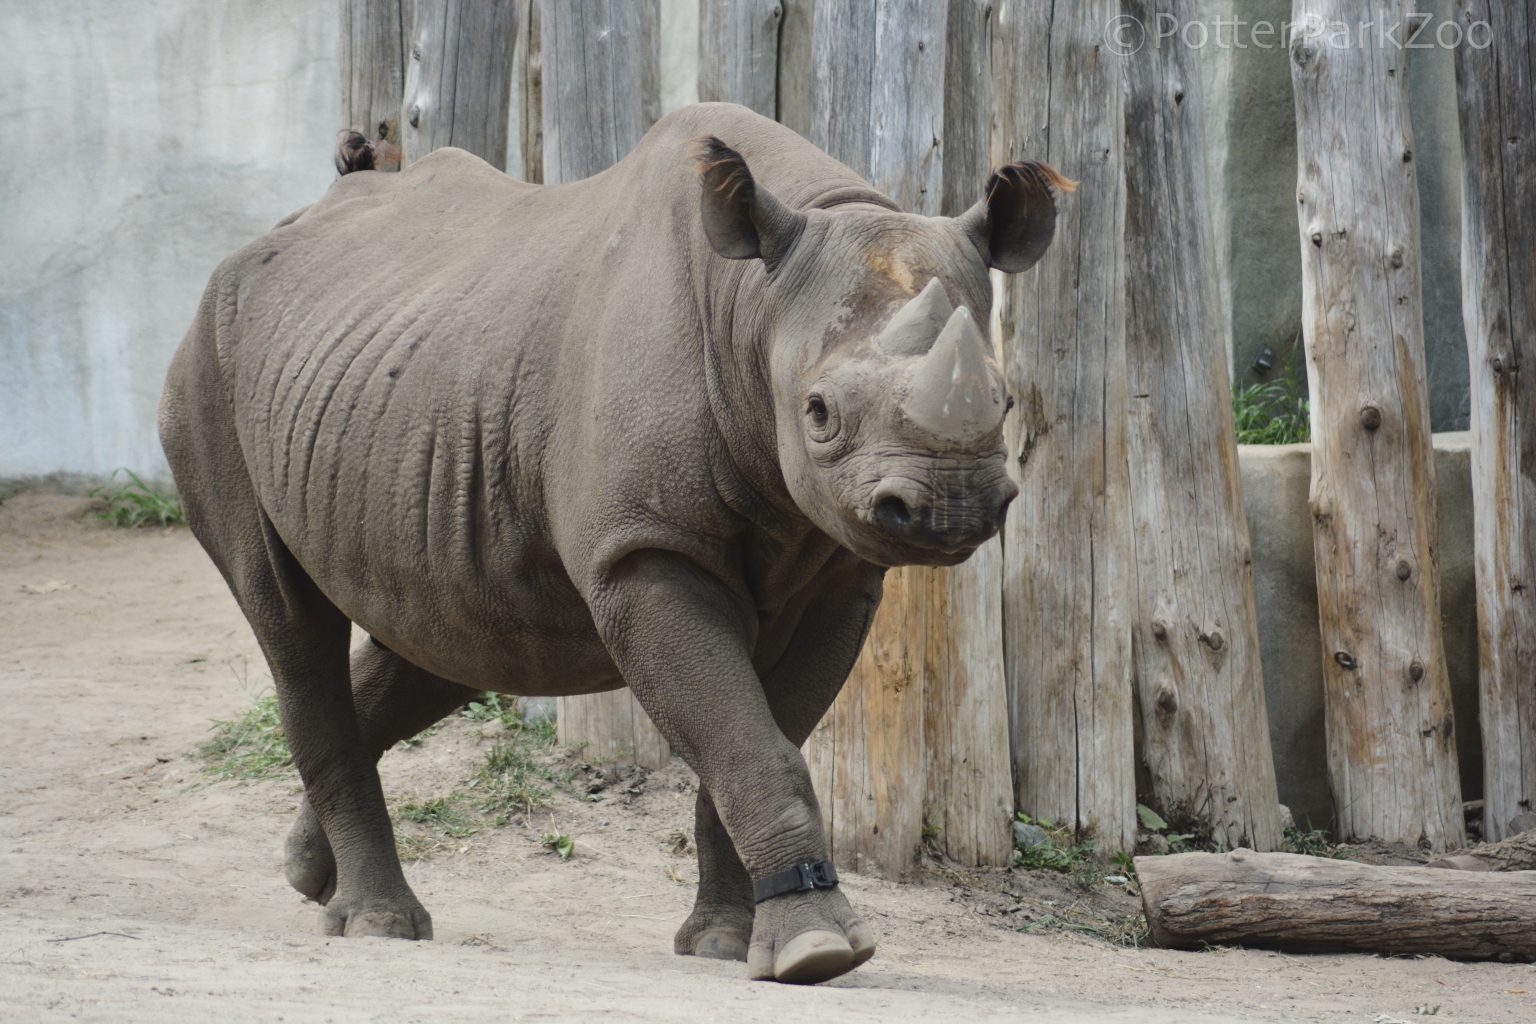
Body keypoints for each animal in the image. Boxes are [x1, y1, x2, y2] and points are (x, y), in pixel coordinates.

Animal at [158, 102, 1069, 982]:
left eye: (1005, 401)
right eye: (817, 413)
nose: (950, 507)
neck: (753, 303)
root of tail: (279, 233)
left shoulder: (840, 576)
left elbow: (753, 739)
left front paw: (729, 943)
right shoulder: (646, 552)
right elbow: (754, 745)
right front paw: (818, 951)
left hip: (411, 385)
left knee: (446, 637)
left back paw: (307, 873)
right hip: (208, 363)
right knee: (290, 620)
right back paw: (380, 924)